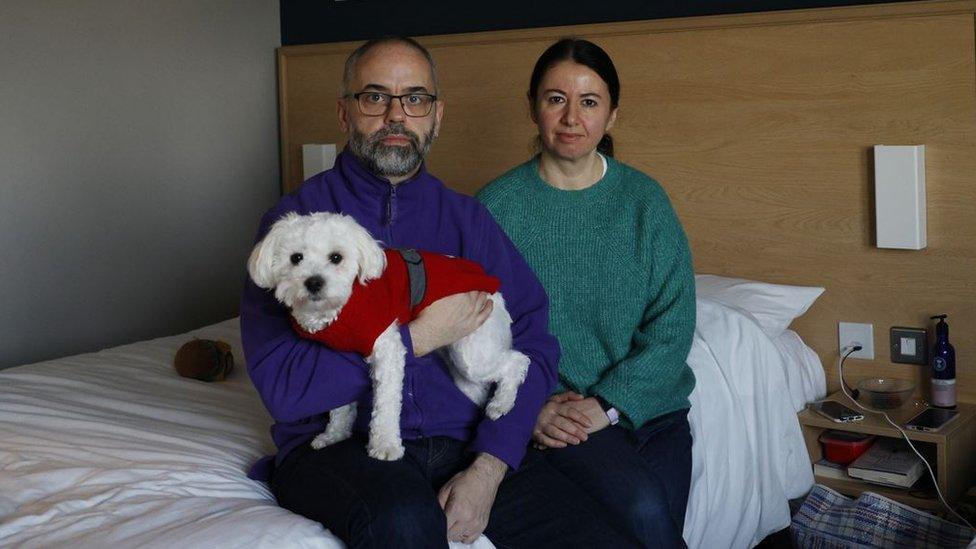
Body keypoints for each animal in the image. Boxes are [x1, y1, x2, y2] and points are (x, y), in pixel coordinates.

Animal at [248, 212, 528, 460]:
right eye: (296, 258)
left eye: (336, 257)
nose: (314, 282)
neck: (342, 307)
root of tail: (495, 290)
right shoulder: (337, 358)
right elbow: (340, 404)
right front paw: (335, 434)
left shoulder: (388, 350)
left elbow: (386, 405)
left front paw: (385, 445)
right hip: (460, 367)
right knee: (479, 387)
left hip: (472, 354)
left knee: (518, 361)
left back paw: (502, 404)